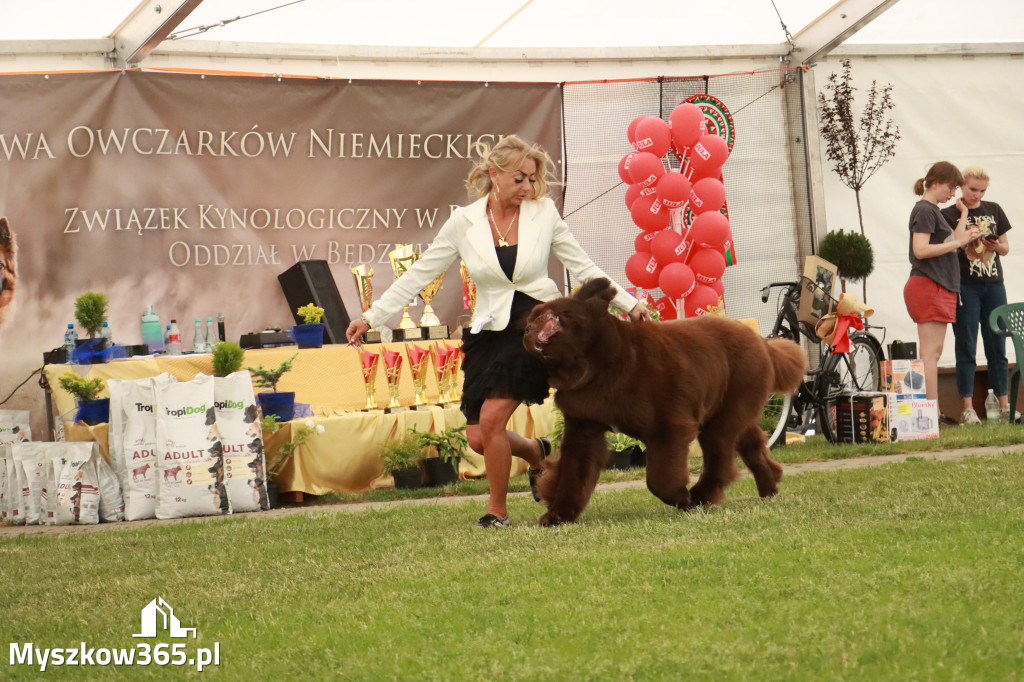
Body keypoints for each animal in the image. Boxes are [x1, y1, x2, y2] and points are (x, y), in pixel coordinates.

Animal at [528, 276, 806, 524]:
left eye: (549, 315)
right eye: (531, 318)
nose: (527, 328)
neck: (598, 364)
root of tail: (762, 342)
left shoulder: (667, 423)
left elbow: (659, 478)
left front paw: (681, 499)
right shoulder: (584, 423)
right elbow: (574, 473)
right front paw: (557, 515)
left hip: (729, 404)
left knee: (721, 455)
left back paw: (700, 497)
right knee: (750, 443)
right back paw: (769, 486)